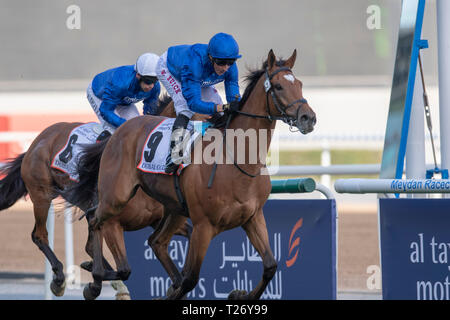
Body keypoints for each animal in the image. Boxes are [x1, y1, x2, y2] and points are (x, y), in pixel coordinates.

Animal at [0, 97, 195, 298]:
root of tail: (38, 140)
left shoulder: (155, 220)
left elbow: (187, 233)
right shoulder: (111, 222)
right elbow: (123, 267)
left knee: (88, 246)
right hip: (41, 195)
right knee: (40, 235)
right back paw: (60, 279)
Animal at [76, 50, 316, 300]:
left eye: (299, 84)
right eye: (278, 86)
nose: (308, 118)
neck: (238, 160)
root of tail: (119, 132)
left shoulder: (253, 217)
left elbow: (270, 266)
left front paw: (240, 295)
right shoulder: (203, 225)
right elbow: (190, 279)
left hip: (173, 209)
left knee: (156, 242)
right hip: (116, 197)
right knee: (96, 221)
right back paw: (95, 278)